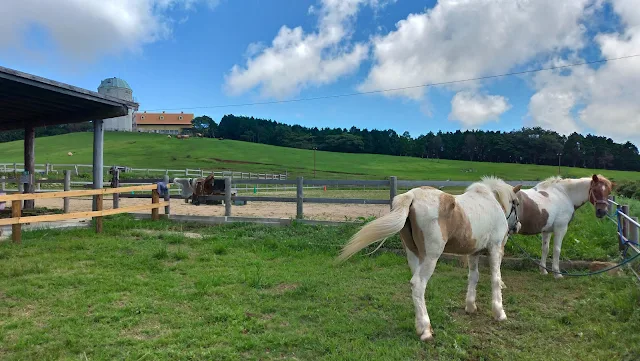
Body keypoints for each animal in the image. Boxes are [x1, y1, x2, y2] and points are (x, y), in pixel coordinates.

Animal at [338, 176, 524, 340]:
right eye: (516, 203)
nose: (517, 226)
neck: (491, 202)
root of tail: (412, 195)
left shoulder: (474, 253)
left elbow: (474, 277)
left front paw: (470, 306)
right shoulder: (496, 248)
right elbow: (496, 279)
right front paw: (499, 313)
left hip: (415, 255)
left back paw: (419, 324)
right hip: (430, 257)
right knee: (418, 284)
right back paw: (426, 330)